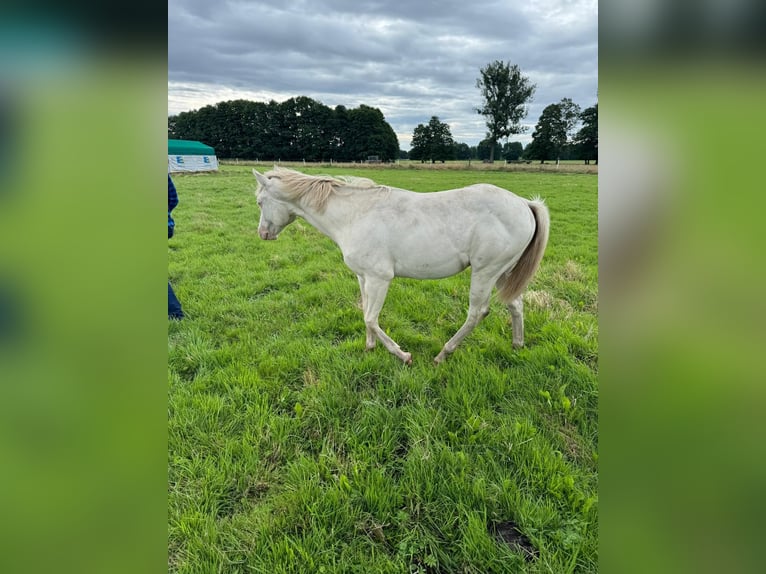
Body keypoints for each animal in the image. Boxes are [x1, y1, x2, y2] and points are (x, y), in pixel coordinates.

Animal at [255, 166, 548, 364]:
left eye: (259, 202)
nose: (263, 234)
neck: (355, 215)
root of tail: (525, 204)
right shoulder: (363, 277)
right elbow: (365, 314)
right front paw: (369, 348)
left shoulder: (379, 278)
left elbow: (371, 318)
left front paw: (402, 354)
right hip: (503, 273)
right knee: (515, 305)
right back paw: (517, 345)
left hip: (485, 273)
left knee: (477, 313)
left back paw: (443, 354)